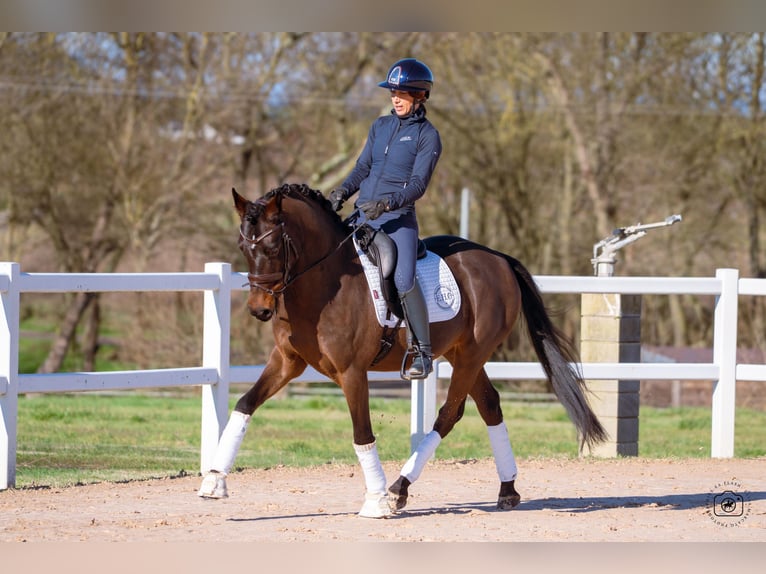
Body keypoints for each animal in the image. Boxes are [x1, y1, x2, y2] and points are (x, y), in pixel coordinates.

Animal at [197, 182, 607, 517]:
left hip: (472, 355)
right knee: (489, 405)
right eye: (242, 247)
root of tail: (497, 258)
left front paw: (376, 500)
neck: (324, 283)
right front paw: (214, 479)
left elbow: (362, 433)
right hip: (463, 354)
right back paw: (506, 490)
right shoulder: (287, 362)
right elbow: (245, 404)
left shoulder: (351, 372)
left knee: (449, 415)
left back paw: (398, 489)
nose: (259, 309)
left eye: (271, 246)